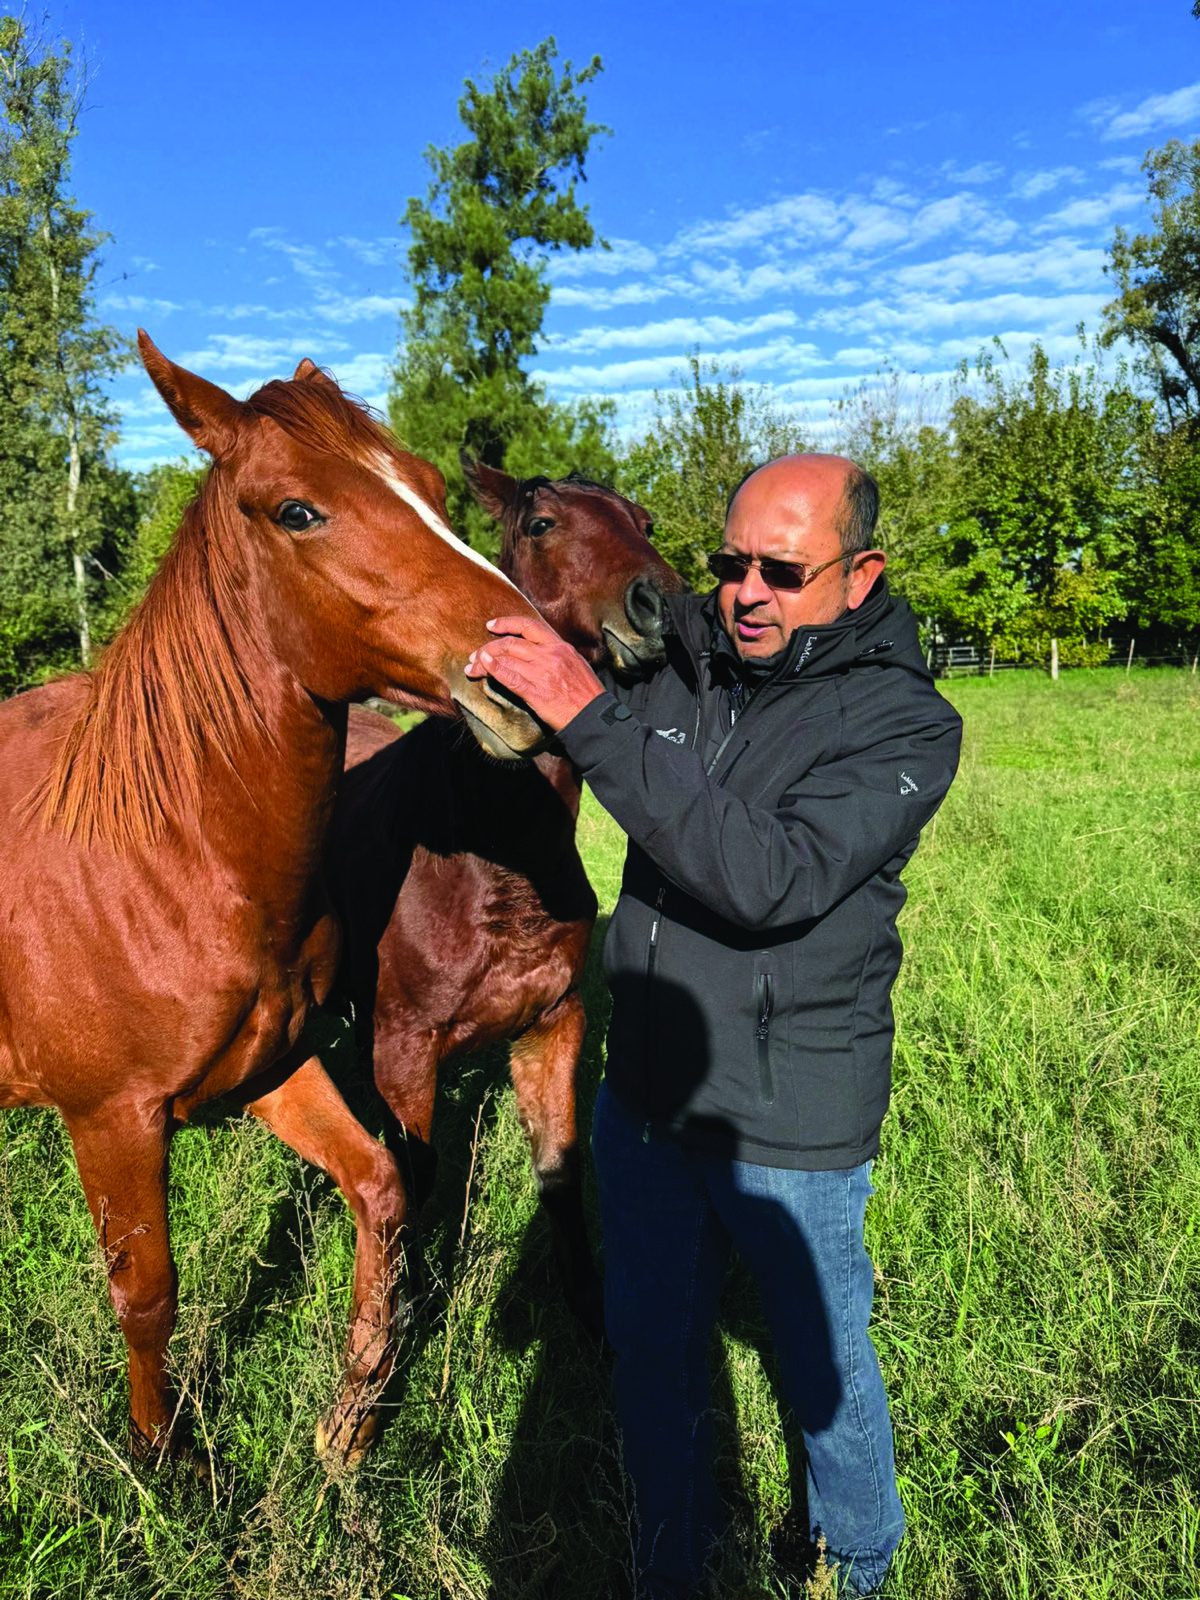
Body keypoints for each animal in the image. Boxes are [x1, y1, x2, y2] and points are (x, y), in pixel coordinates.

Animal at [0, 336, 545, 1469]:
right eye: (298, 511)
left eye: (432, 489)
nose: (523, 671)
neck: (163, 859)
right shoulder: (111, 1122)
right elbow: (148, 1295)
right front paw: (163, 1459)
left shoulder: (272, 1068)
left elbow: (381, 1189)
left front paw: (355, 1417)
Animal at [316, 456, 685, 1334]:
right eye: (542, 524)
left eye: (645, 521)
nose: (660, 609)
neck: (490, 861)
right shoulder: (402, 1060)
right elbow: (412, 1188)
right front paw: (400, 1329)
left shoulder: (551, 1026)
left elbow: (559, 1171)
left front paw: (588, 1316)